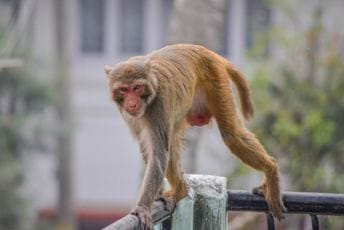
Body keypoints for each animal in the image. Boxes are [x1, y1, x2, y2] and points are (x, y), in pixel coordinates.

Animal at [105, 44, 288, 229]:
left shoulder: (159, 106)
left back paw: (271, 169)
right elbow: (148, 149)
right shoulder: (132, 118)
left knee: (231, 135)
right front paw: (156, 196)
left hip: (216, 80)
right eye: (124, 90)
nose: (132, 103)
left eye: (137, 88)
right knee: (173, 140)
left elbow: (158, 155)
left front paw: (143, 207)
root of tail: (206, 51)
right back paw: (181, 189)